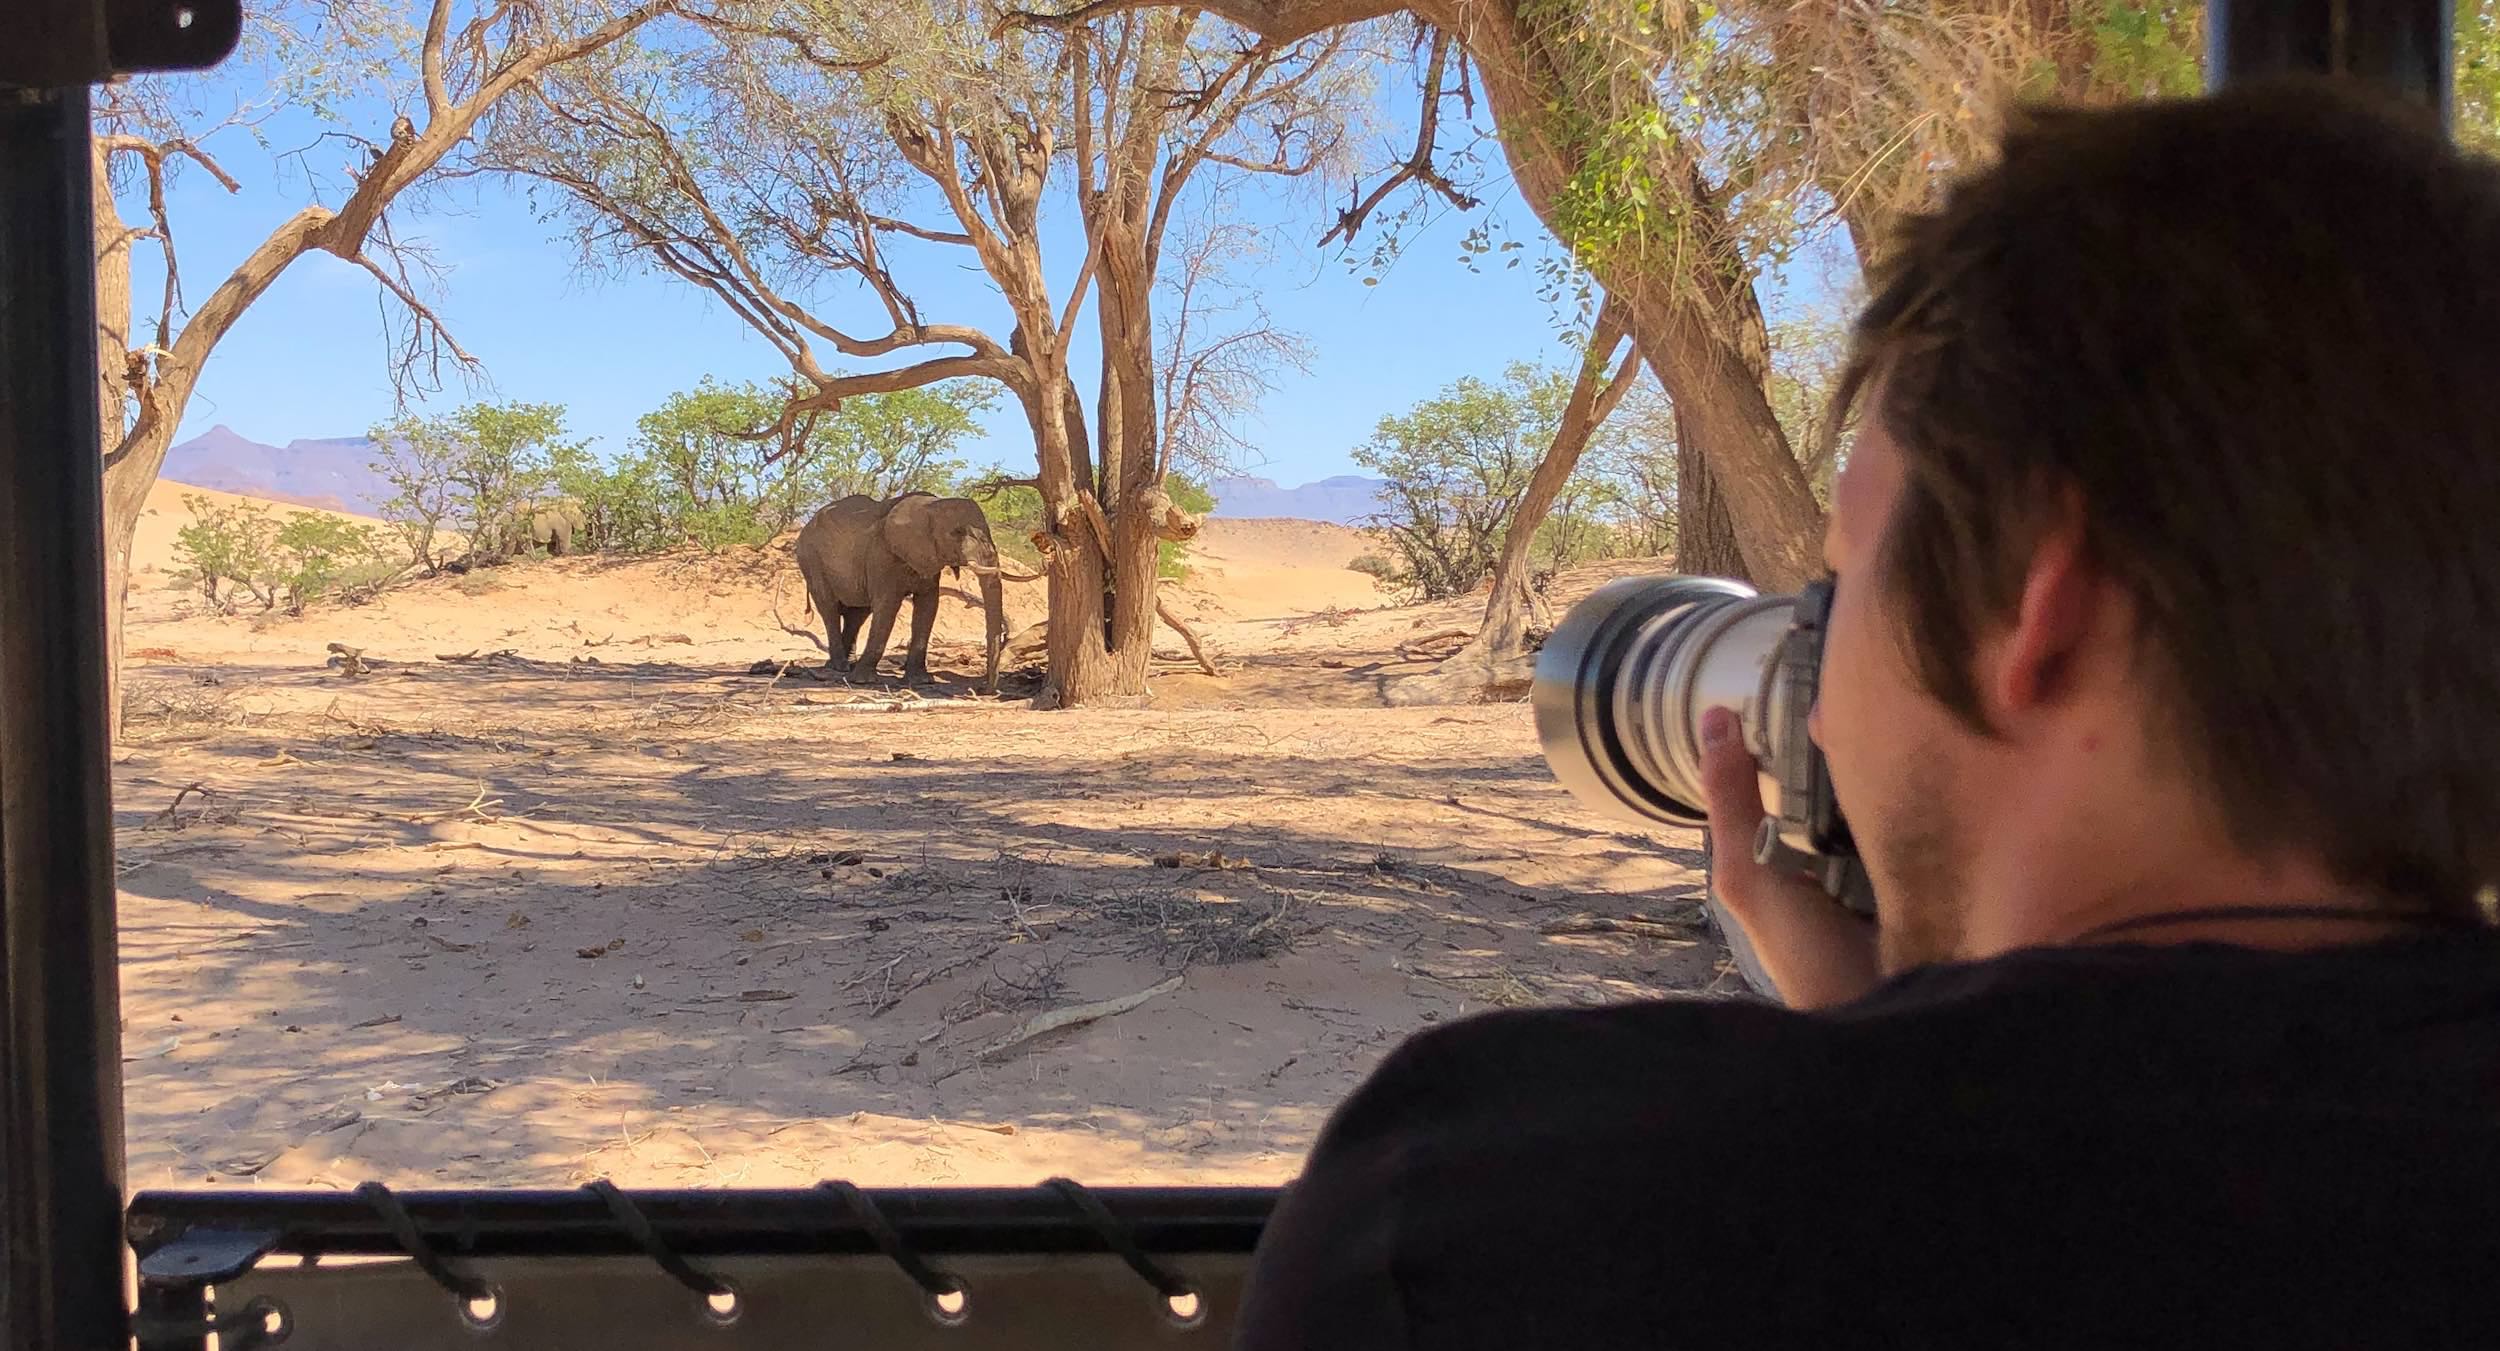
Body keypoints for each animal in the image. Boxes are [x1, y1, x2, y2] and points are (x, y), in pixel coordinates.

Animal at [800, 490, 1035, 690]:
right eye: (957, 532)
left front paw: (920, 681)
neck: (928, 506)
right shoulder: (882, 555)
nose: (985, 689)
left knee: (858, 613)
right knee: (830, 608)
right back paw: (840, 667)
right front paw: (864, 681)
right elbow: (887, 606)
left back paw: (846, 664)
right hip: (811, 560)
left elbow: (928, 606)